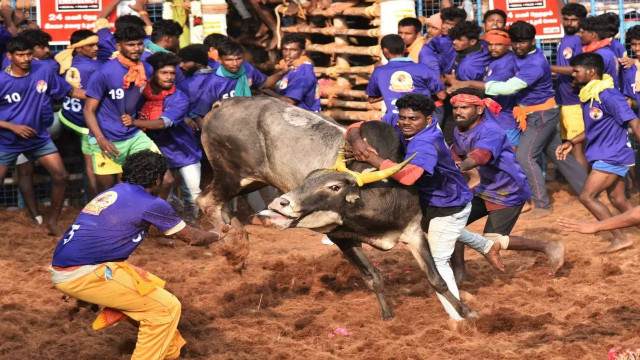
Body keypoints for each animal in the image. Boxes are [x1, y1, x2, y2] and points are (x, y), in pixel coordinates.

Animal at [198, 96, 478, 320]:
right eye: (308, 179)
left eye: (334, 186)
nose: (280, 203)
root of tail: (223, 104)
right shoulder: (339, 236)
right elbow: (373, 277)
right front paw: (388, 315)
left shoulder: (413, 232)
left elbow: (437, 279)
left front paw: (466, 312)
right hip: (232, 176)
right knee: (207, 201)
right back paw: (235, 250)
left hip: (250, 180)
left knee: (217, 206)